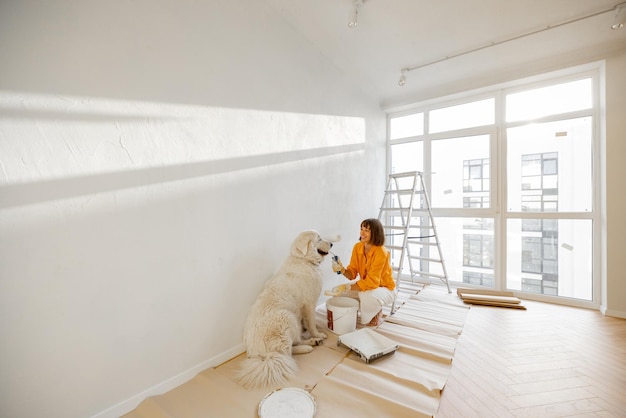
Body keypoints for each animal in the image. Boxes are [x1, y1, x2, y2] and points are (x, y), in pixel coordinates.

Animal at [235, 229, 332, 388]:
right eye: (319, 239)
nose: (331, 244)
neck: (303, 260)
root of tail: (262, 357)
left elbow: (308, 322)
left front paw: (313, 332)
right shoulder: (309, 303)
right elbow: (311, 322)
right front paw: (317, 333)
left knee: (295, 343)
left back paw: (311, 342)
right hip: (287, 317)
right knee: (289, 352)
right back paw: (309, 345)